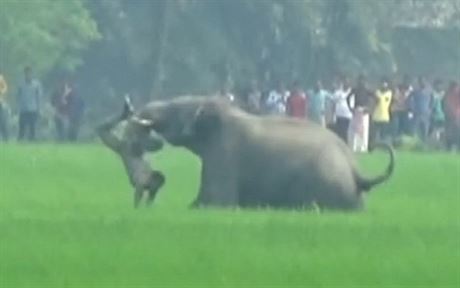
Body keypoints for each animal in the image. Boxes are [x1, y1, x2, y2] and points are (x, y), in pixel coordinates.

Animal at [126, 95, 396, 210]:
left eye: (177, 110)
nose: (136, 115)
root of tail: (358, 173)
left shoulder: (225, 156)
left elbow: (218, 203)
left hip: (326, 187)